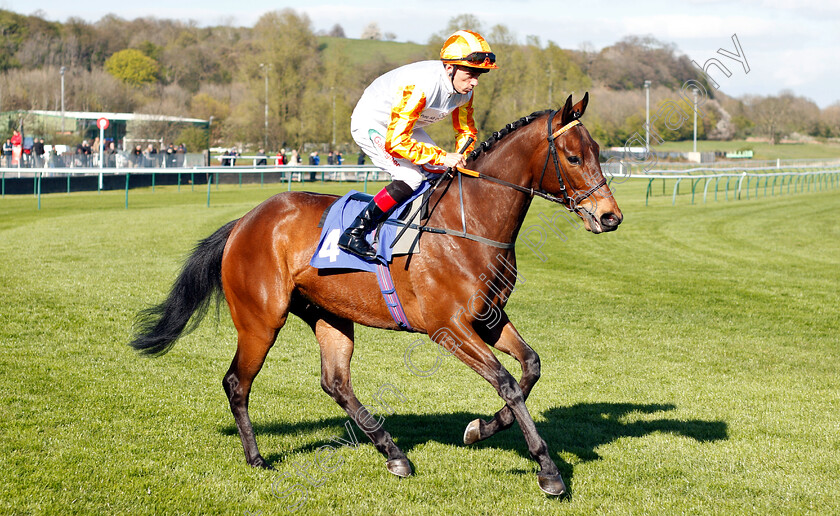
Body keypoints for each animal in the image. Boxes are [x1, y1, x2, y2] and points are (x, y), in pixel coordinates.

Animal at [128, 92, 620, 496]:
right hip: (261, 319)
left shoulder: (488, 318)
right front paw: (548, 470)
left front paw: (479, 428)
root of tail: (244, 221)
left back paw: (394, 453)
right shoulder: (448, 328)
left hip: (329, 314)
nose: (609, 217)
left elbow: (530, 368)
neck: (470, 226)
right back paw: (257, 458)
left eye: (599, 152)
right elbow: (508, 384)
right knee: (237, 382)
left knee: (335, 382)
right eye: (573, 157)